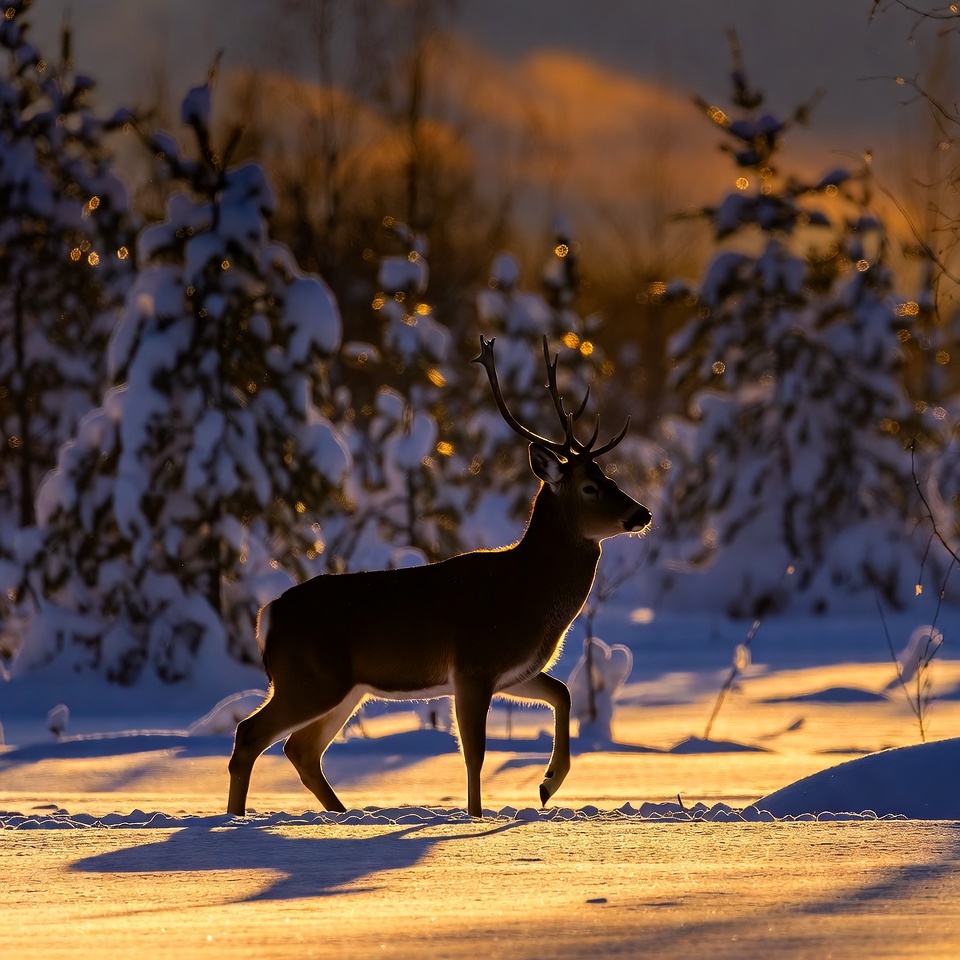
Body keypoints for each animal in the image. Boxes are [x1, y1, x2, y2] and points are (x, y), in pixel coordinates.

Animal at [227, 335, 652, 818]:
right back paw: (236, 820)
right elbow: (474, 753)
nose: (642, 514)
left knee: (301, 750)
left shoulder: (515, 671)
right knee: (251, 735)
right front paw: (477, 816)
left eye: (610, 477)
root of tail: (267, 615)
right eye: (590, 487)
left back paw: (338, 814)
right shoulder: (473, 665)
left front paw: (548, 785)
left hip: (344, 689)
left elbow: (562, 692)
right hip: (310, 679)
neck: (528, 590)